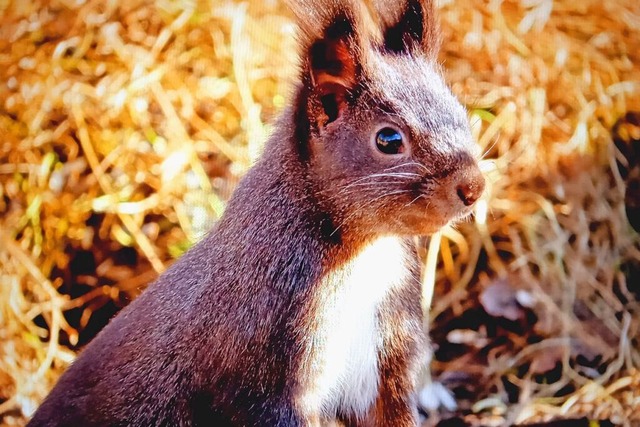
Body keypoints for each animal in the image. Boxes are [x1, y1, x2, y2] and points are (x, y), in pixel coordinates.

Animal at [26, 0, 484, 426]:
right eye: (388, 140)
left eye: (460, 111)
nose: (474, 186)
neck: (366, 253)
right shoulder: (261, 373)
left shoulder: (385, 351)